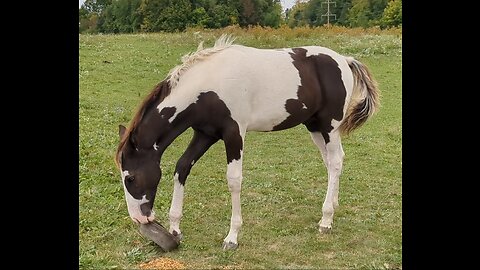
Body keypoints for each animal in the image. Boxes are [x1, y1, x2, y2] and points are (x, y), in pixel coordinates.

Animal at [115, 34, 378, 250]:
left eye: (130, 178)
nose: (140, 218)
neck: (209, 85)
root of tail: (344, 59)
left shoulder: (234, 133)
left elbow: (234, 180)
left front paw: (232, 237)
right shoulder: (205, 134)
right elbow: (182, 167)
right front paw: (175, 228)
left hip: (329, 126)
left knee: (335, 162)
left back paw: (326, 219)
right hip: (315, 127)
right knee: (333, 161)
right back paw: (333, 207)